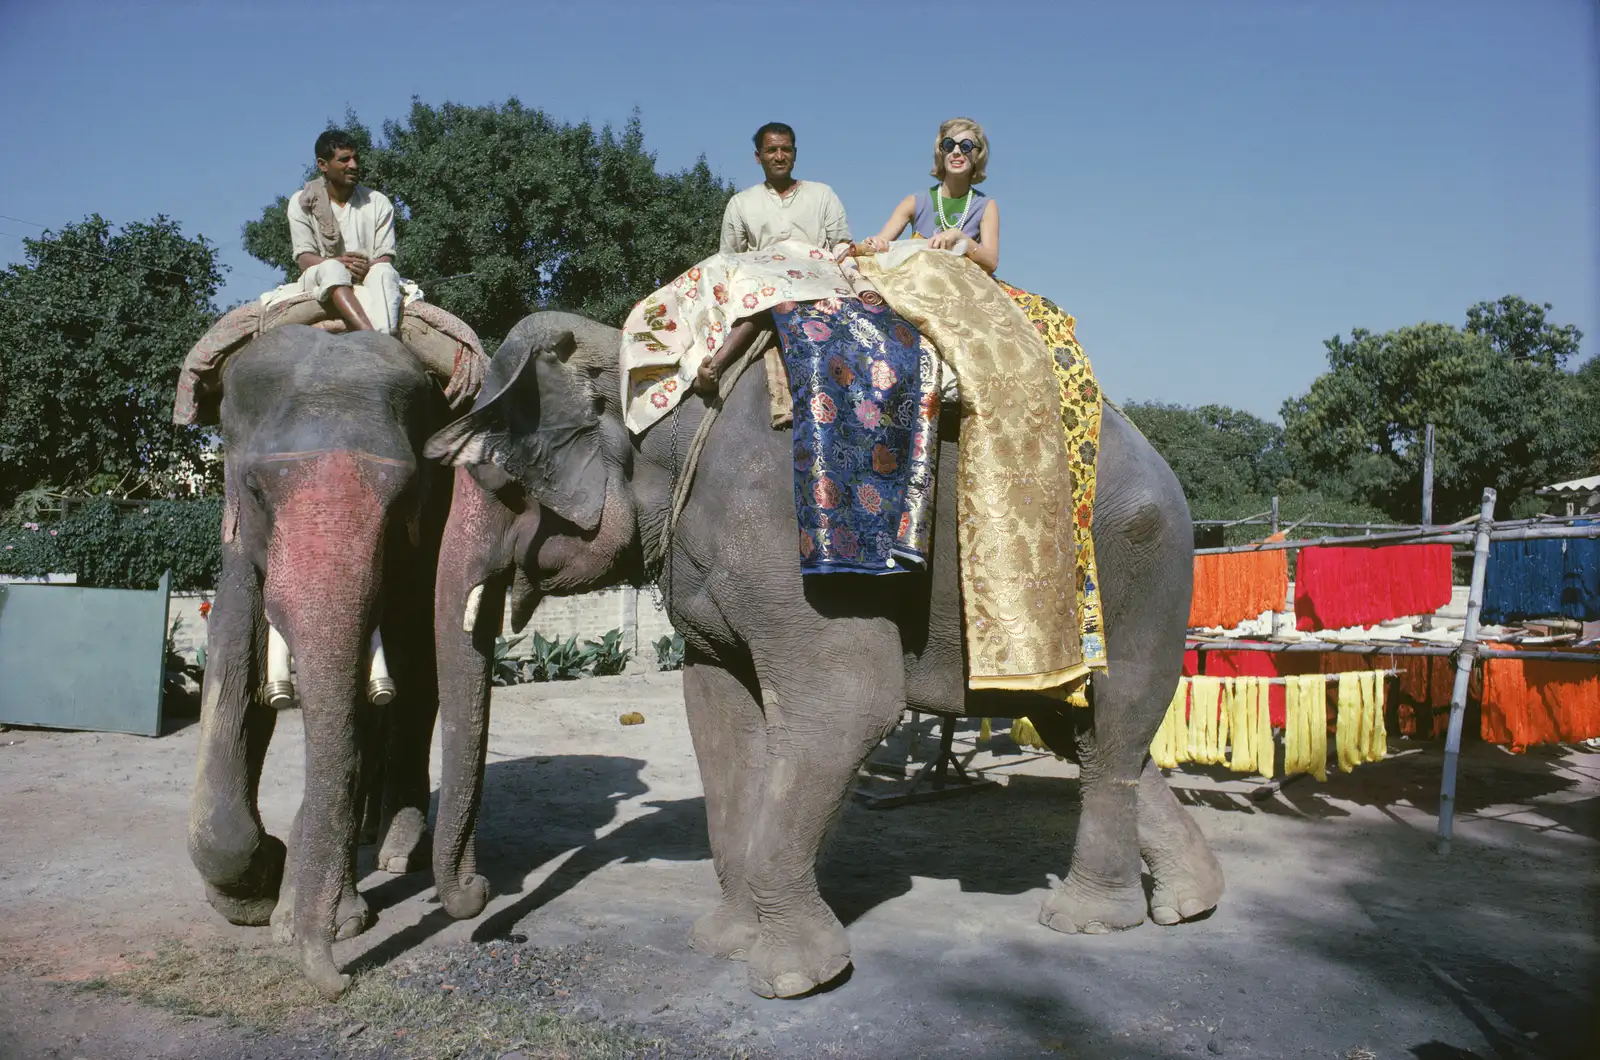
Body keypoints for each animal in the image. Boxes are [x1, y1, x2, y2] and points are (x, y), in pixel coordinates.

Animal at [187, 324, 455, 997]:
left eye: (406, 497)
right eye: (255, 490)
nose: (337, 982)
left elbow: (364, 703)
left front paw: (313, 913)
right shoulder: (239, 550)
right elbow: (230, 671)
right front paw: (260, 891)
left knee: (415, 689)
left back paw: (393, 852)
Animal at [422, 310, 1225, 999]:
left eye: (498, 481)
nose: (483, 895)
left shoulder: (790, 535)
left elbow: (850, 700)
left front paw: (792, 978)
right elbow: (717, 712)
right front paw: (722, 941)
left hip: (1136, 564)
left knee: (1112, 722)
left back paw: (1090, 920)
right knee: (1082, 734)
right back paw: (1189, 903)